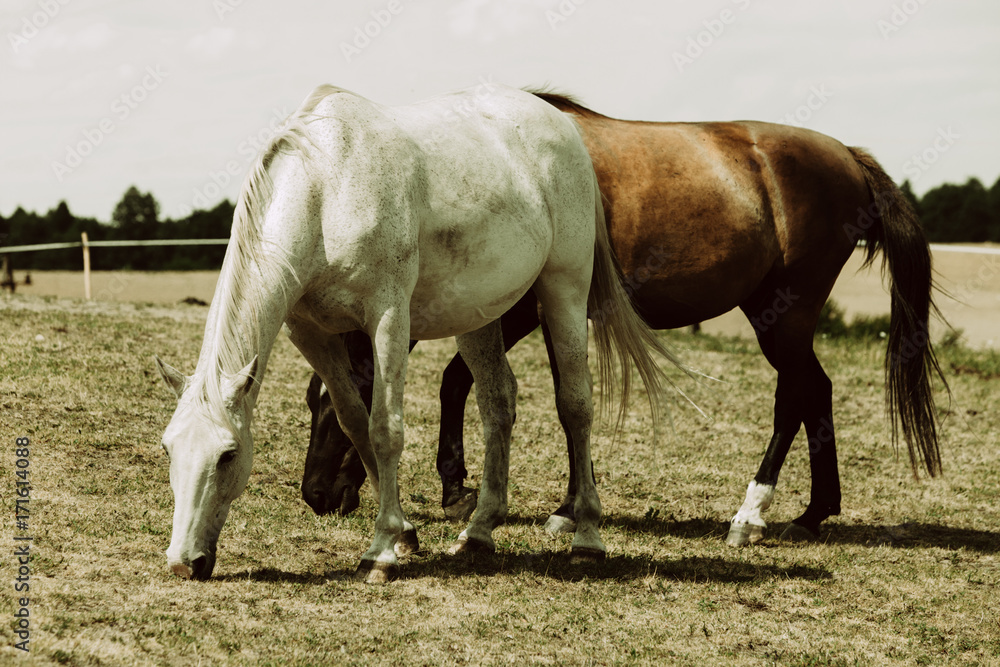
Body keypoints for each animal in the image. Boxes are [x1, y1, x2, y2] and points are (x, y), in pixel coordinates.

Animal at [154, 83, 680, 582]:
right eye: (168, 448)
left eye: (228, 455)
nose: (183, 563)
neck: (327, 189)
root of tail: (563, 124)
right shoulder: (309, 332)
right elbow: (355, 420)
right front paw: (405, 534)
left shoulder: (388, 318)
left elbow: (385, 429)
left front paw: (380, 554)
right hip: (480, 316)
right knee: (498, 403)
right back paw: (478, 532)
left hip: (563, 290)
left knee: (575, 405)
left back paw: (586, 537)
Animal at [300, 91, 947, 547]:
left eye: (342, 403)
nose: (314, 495)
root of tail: (849, 156)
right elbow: (509, 387)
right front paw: (540, 500)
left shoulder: (527, 306)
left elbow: (480, 384)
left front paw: (485, 493)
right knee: (818, 392)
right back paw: (813, 513)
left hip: (781, 316)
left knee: (797, 395)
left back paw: (751, 514)